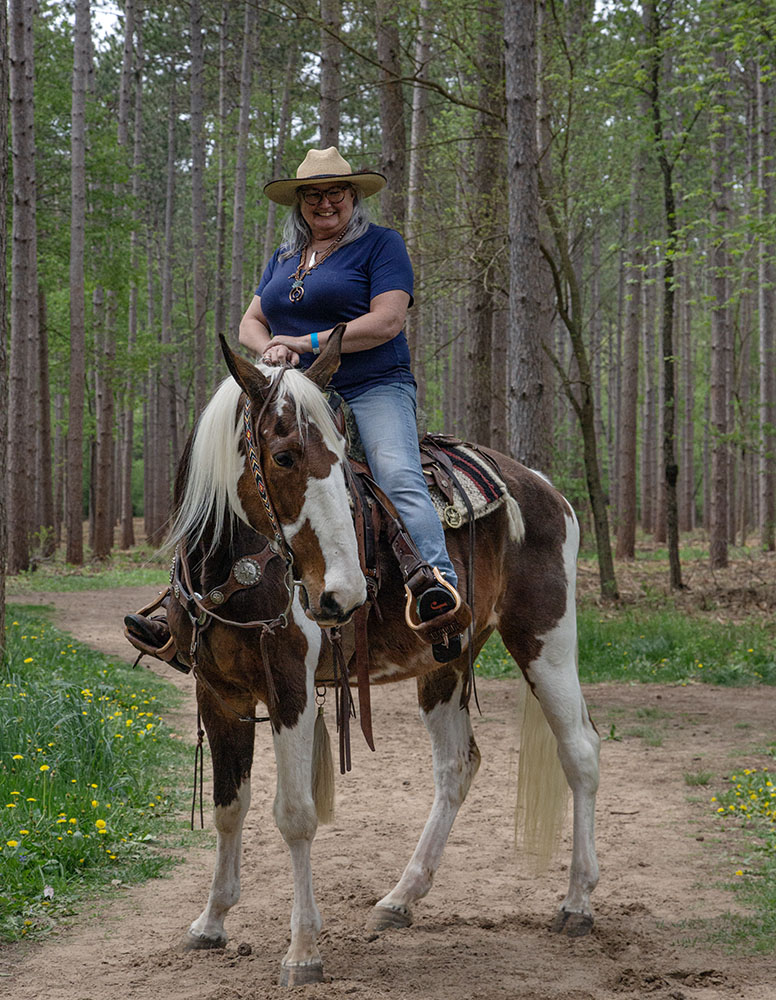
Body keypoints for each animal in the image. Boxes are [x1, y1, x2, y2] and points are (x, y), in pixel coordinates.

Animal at [164, 332, 600, 988]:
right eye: (284, 455)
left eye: (342, 459)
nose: (343, 594)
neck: (234, 573)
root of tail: (544, 488)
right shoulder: (219, 695)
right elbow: (229, 809)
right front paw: (211, 922)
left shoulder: (290, 687)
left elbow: (294, 814)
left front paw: (303, 951)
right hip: (447, 659)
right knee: (456, 767)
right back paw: (400, 898)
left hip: (545, 641)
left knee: (580, 753)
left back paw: (576, 903)